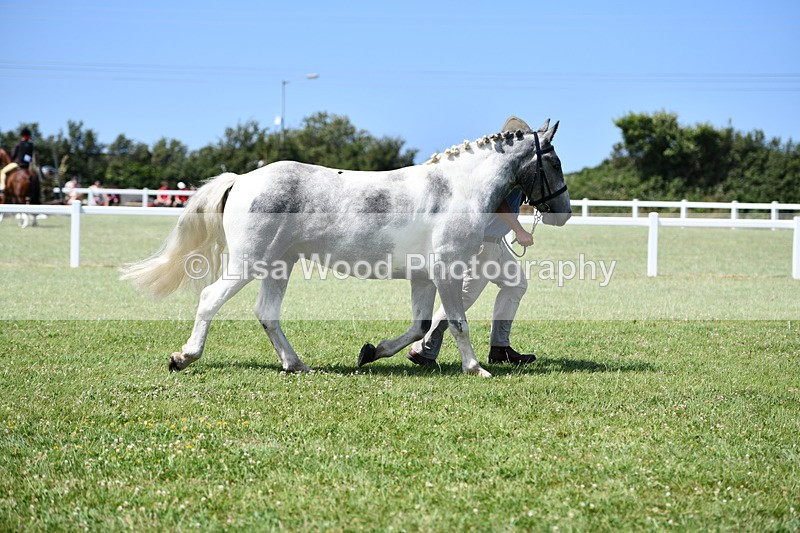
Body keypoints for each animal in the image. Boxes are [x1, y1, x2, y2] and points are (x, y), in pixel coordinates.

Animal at [121, 116, 571, 378]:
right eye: (554, 162)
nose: (563, 213)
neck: (455, 189)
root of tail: (242, 179)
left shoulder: (424, 277)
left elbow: (421, 325)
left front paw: (372, 352)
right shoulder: (447, 271)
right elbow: (457, 322)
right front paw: (476, 368)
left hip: (279, 266)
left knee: (267, 313)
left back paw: (296, 364)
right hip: (250, 263)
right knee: (211, 299)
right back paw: (184, 357)